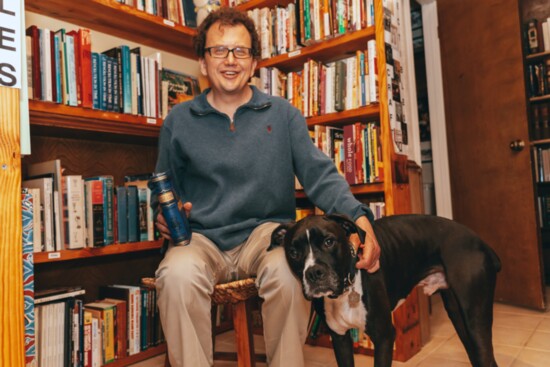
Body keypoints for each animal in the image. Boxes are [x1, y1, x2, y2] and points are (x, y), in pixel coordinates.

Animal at [270, 214, 502, 367]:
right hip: (459, 318)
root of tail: (481, 243)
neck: (347, 287)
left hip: (475, 319)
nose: (314, 273)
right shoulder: (340, 339)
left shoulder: (384, 336)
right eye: (293, 252)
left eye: (329, 242)